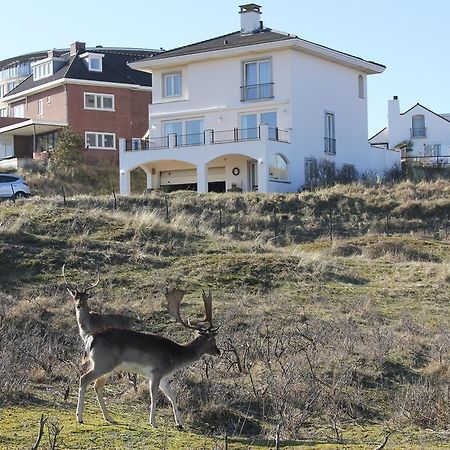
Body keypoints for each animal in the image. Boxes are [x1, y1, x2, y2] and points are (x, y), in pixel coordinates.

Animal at [76, 288, 221, 428]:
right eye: (212, 340)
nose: (218, 351)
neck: (176, 357)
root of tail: (91, 337)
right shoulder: (157, 372)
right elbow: (154, 396)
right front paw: (153, 422)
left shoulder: (164, 378)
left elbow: (172, 396)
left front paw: (180, 423)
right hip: (103, 363)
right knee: (84, 379)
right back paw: (80, 417)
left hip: (105, 366)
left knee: (97, 386)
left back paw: (109, 418)